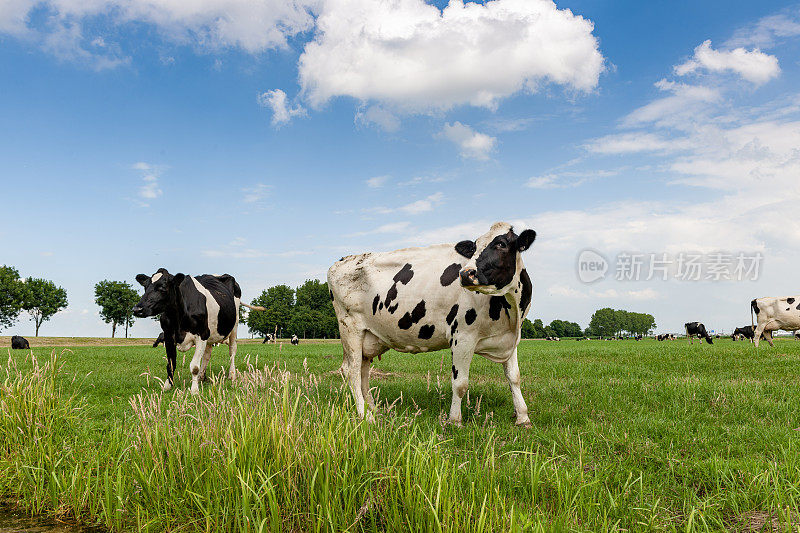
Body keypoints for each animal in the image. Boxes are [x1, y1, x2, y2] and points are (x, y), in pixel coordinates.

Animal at [132, 268, 266, 392]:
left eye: (163, 288)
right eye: (145, 287)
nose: (137, 309)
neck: (178, 318)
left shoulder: (201, 335)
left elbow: (194, 366)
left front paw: (194, 390)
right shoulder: (169, 336)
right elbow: (171, 364)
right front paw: (167, 386)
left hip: (234, 326)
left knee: (232, 351)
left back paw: (231, 375)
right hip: (210, 333)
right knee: (207, 354)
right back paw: (202, 376)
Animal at [324, 220, 536, 424]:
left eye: (501, 244)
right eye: (474, 247)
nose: (465, 273)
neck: (510, 311)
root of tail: (342, 260)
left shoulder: (511, 339)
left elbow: (514, 378)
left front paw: (523, 417)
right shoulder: (462, 337)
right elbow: (460, 383)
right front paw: (454, 420)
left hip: (369, 336)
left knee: (363, 372)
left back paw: (374, 410)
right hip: (350, 329)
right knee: (351, 371)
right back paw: (365, 415)